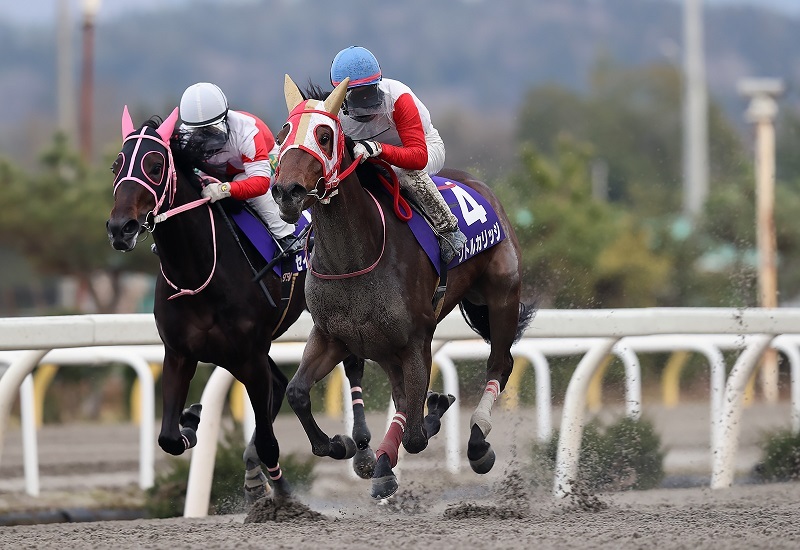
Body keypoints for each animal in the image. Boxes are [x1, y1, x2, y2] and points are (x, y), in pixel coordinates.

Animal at [104, 109, 374, 504]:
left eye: (155, 165)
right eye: (116, 165)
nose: (120, 227)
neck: (197, 271)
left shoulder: (248, 355)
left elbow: (269, 442)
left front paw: (287, 487)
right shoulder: (180, 353)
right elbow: (169, 438)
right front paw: (191, 421)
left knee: (349, 365)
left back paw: (363, 451)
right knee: (280, 384)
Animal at [272, 75, 536, 502]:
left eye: (325, 136)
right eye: (282, 135)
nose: (286, 191)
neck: (353, 259)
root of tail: (480, 186)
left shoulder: (416, 338)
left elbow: (415, 434)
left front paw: (431, 413)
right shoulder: (333, 337)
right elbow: (296, 393)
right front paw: (340, 445)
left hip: (501, 295)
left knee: (500, 362)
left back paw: (477, 442)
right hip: (384, 346)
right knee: (400, 396)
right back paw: (384, 463)